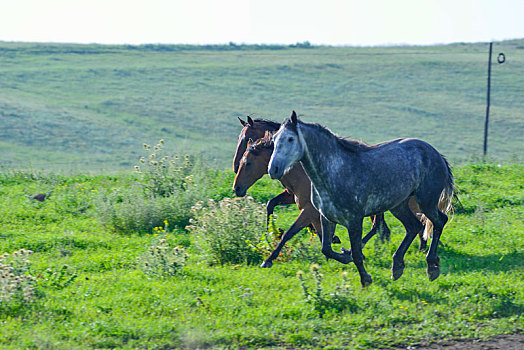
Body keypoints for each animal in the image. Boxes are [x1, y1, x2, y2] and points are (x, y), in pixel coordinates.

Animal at [268, 112, 452, 288]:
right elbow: (326, 249)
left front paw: (365, 279)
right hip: (398, 205)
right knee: (414, 226)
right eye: (274, 139)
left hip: (426, 201)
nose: (273, 169)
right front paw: (345, 256)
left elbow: (356, 253)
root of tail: (437, 154)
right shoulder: (326, 217)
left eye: (290, 139)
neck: (336, 172)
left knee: (439, 221)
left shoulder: (354, 220)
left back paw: (432, 267)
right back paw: (397, 267)